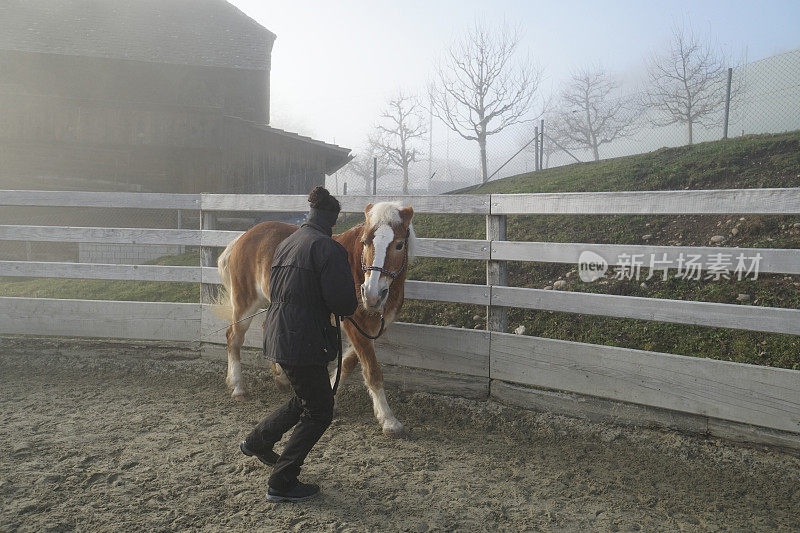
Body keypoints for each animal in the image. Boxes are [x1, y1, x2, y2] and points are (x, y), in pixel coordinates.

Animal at [216, 201, 416, 436]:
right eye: (365, 242)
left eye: (399, 245)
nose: (371, 294)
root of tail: (243, 237)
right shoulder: (355, 325)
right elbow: (372, 371)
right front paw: (389, 421)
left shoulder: (371, 329)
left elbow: (348, 363)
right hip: (245, 302)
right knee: (233, 337)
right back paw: (238, 387)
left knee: (268, 330)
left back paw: (281, 379)